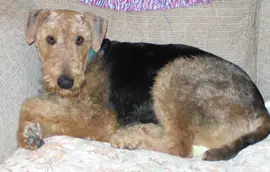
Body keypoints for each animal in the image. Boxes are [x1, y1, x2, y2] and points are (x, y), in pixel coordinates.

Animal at [17, 8, 270, 161]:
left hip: (174, 74)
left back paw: (128, 138)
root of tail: (261, 110)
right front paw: (30, 134)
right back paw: (137, 131)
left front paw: (29, 133)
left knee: (180, 145)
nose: (66, 82)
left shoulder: (98, 118)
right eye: (50, 39)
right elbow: (41, 108)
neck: (90, 59)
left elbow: (33, 105)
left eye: (80, 39)